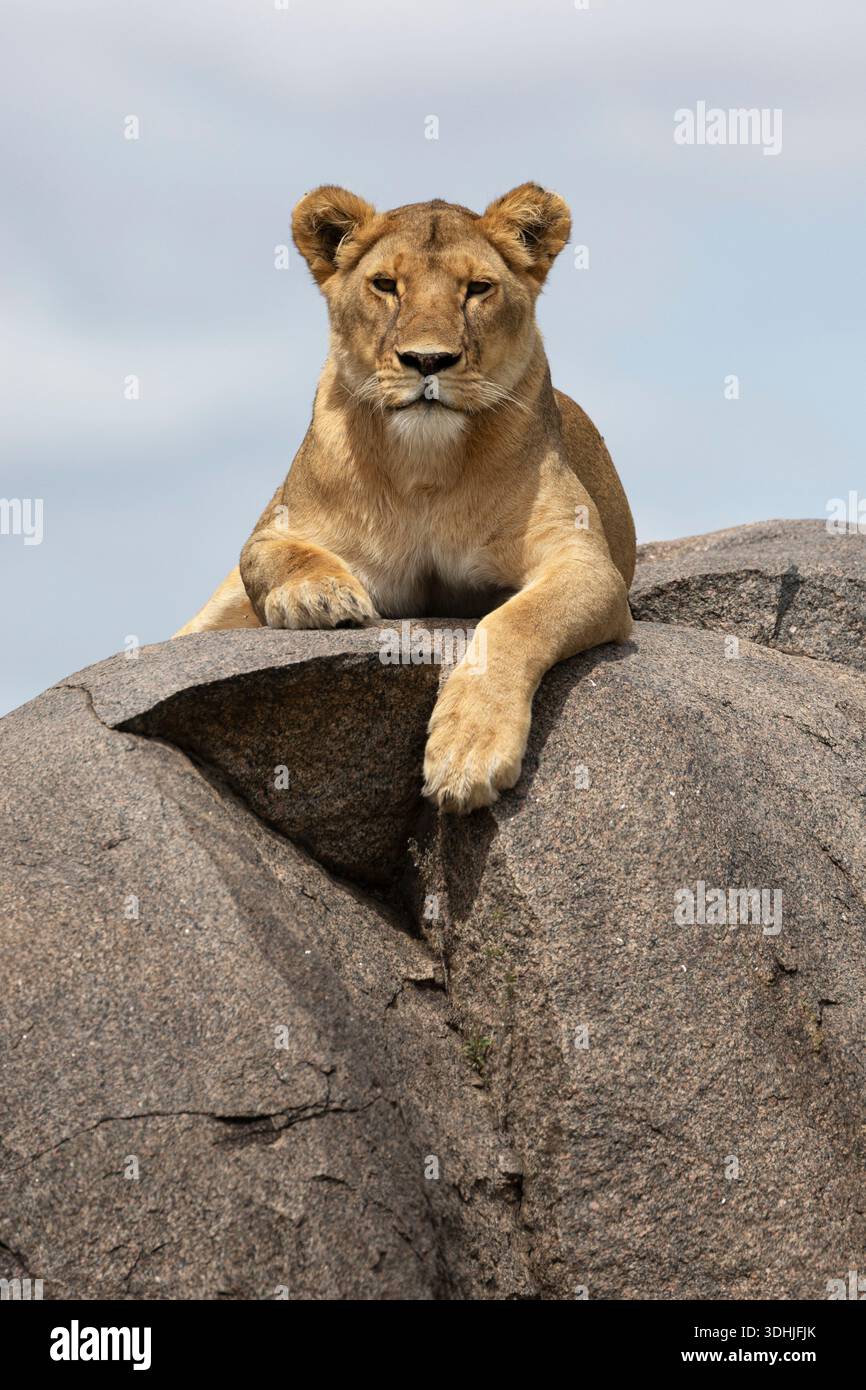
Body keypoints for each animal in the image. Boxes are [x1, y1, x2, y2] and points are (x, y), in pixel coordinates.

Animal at [175, 183, 636, 813]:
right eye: (386, 284)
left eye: (478, 288)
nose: (427, 360)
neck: (425, 466)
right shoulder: (281, 527)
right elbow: (268, 554)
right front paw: (319, 596)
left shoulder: (582, 560)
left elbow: (518, 622)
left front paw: (468, 749)